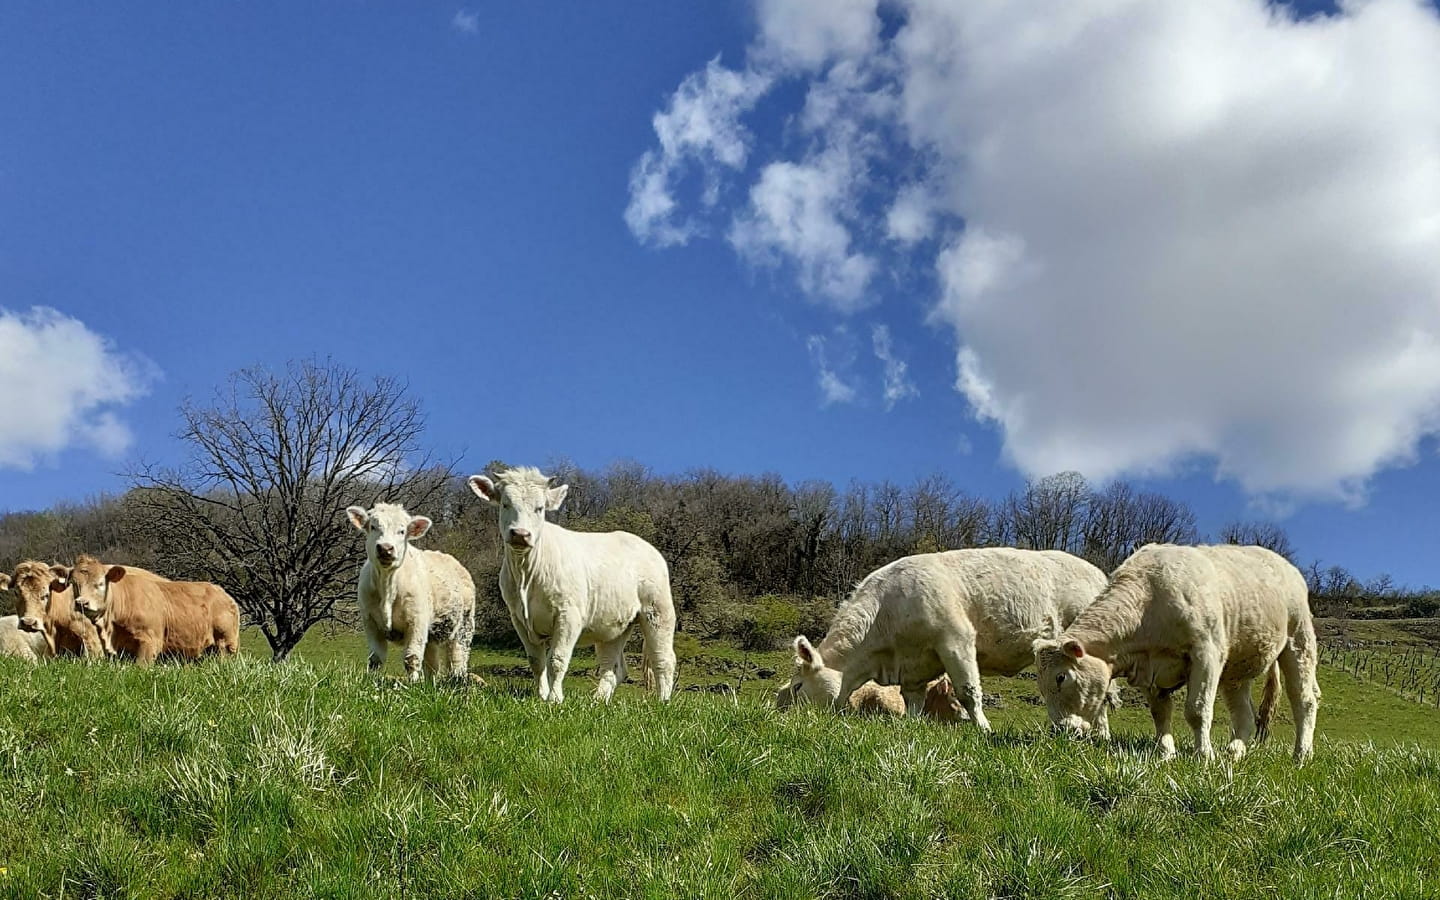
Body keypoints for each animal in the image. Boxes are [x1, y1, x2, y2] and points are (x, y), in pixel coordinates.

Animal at [61, 550, 240, 662]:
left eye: (100, 583)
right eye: (73, 584)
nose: (81, 603)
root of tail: (223, 592)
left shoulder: (150, 641)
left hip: (225, 642)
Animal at [345, 498, 475, 679]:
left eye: (402, 531)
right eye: (373, 527)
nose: (385, 548)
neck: (388, 585)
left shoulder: (416, 621)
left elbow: (411, 658)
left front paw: (413, 682)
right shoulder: (370, 622)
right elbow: (376, 658)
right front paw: (372, 680)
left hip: (464, 625)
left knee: (457, 658)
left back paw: (457, 680)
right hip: (431, 634)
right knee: (432, 664)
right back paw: (430, 683)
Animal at [466, 466, 679, 705]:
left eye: (540, 508)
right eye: (505, 504)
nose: (520, 534)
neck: (525, 576)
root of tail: (644, 545)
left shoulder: (569, 614)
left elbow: (557, 660)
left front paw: (554, 699)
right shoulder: (518, 618)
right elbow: (536, 661)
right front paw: (541, 696)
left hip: (657, 610)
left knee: (664, 659)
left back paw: (663, 701)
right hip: (613, 625)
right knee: (613, 666)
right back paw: (598, 701)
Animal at [789, 547, 1111, 731]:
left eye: (797, 686)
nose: (785, 716)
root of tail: (1098, 572)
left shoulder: (956, 640)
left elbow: (968, 690)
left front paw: (983, 729)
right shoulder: (913, 666)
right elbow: (912, 700)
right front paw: (910, 726)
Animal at [1031, 541, 1319, 760]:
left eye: (1061, 677)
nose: (1060, 731)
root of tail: (1281, 561)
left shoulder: (1206, 653)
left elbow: (1197, 710)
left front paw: (1203, 756)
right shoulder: (1149, 670)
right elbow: (1160, 713)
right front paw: (1166, 753)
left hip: (1299, 639)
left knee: (1304, 699)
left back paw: (1301, 754)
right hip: (1236, 670)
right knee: (1244, 714)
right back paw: (1234, 752)